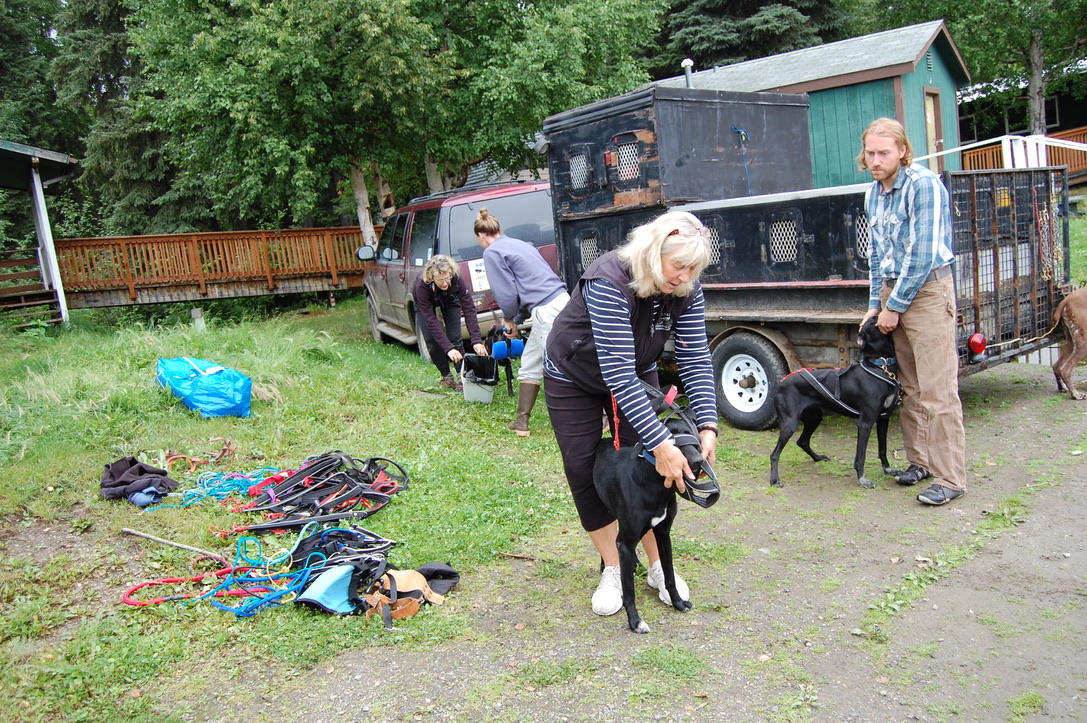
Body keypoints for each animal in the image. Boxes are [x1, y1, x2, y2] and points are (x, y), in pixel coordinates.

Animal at [591, 382, 717, 630]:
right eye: (671, 441)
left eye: (694, 434)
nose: (699, 462)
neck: (656, 484)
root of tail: (605, 439)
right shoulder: (627, 540)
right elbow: (629, 590)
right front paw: (635, 621)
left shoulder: (663, 533)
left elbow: (669, 575)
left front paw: (678, 602)